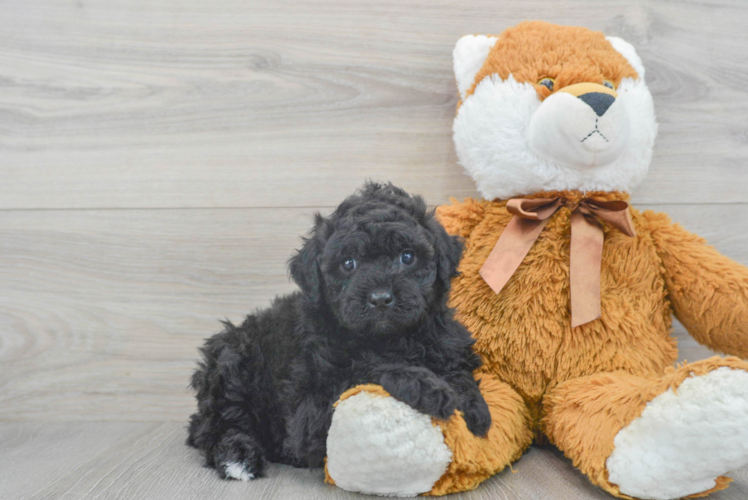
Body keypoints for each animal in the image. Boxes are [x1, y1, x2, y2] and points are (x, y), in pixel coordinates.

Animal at [187, 183, 490, 480]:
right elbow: (366, 367)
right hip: (230, 361)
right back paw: (238, 456)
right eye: (348, 263)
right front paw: (426, 386)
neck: (390, 339)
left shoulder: (447, 342)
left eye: (407, 257)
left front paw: (473, 406)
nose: (381, 298)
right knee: (219, 424)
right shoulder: (309, 405)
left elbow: (458, 371)